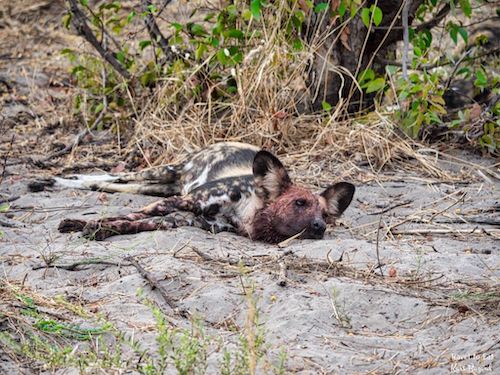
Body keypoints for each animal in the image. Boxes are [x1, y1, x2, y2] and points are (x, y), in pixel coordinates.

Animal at [55, 142, 356, 244]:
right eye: (299, 203)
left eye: (325, 216)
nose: (319, 227)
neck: (243, 213)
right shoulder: (181, 203)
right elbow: (133, 214)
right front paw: (84, 224)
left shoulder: (180, 219)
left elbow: (132, 223)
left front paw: (98, 228)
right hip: (168, 171)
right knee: (112, 176)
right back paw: (58, 180)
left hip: (164, 184)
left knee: (114, 184)